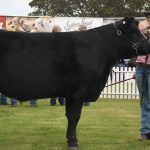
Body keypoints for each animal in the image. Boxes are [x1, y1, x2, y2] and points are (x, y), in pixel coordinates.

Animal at [0, 17, 150, 149]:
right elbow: (74, 117)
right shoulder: (78, 91)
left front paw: (70, 139)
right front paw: (73, 143)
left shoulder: (71, 94)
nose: (148, 46)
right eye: (134, 32)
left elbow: (70, 117)